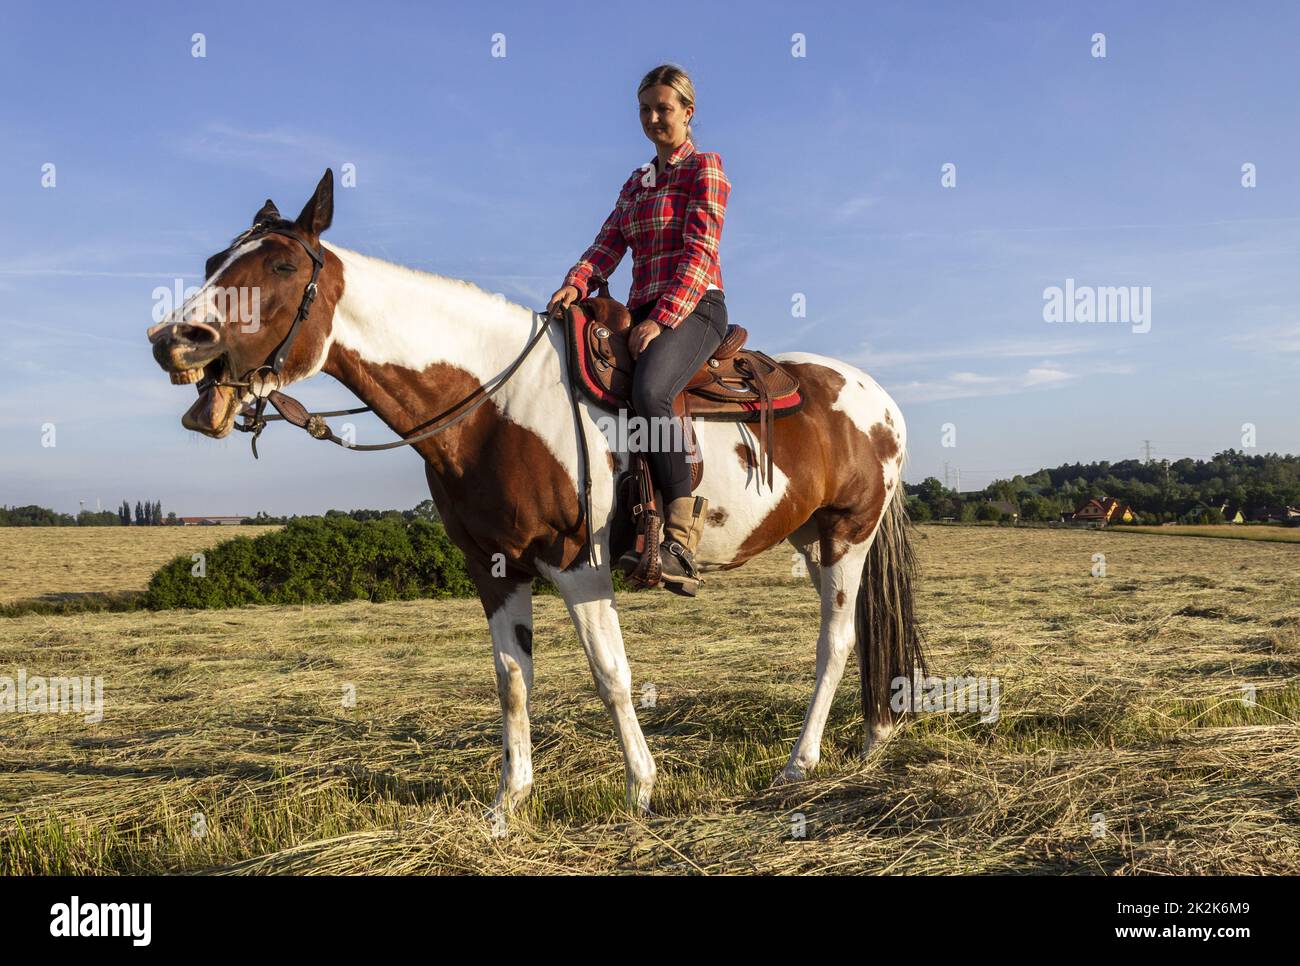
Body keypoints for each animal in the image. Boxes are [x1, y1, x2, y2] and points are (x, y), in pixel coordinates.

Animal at [144, 171, 925, 816]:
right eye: (214, 263)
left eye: (279, 265)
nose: (173, 339)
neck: (498, 400)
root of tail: (881, 401)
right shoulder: (494, 569)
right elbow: (512, 679)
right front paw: (506, 805)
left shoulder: (580, 566)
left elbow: (611, 673)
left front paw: (642, 791)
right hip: (812, 538)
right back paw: (870, 739)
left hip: (846, 536)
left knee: (836, 642)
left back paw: (802, 763)